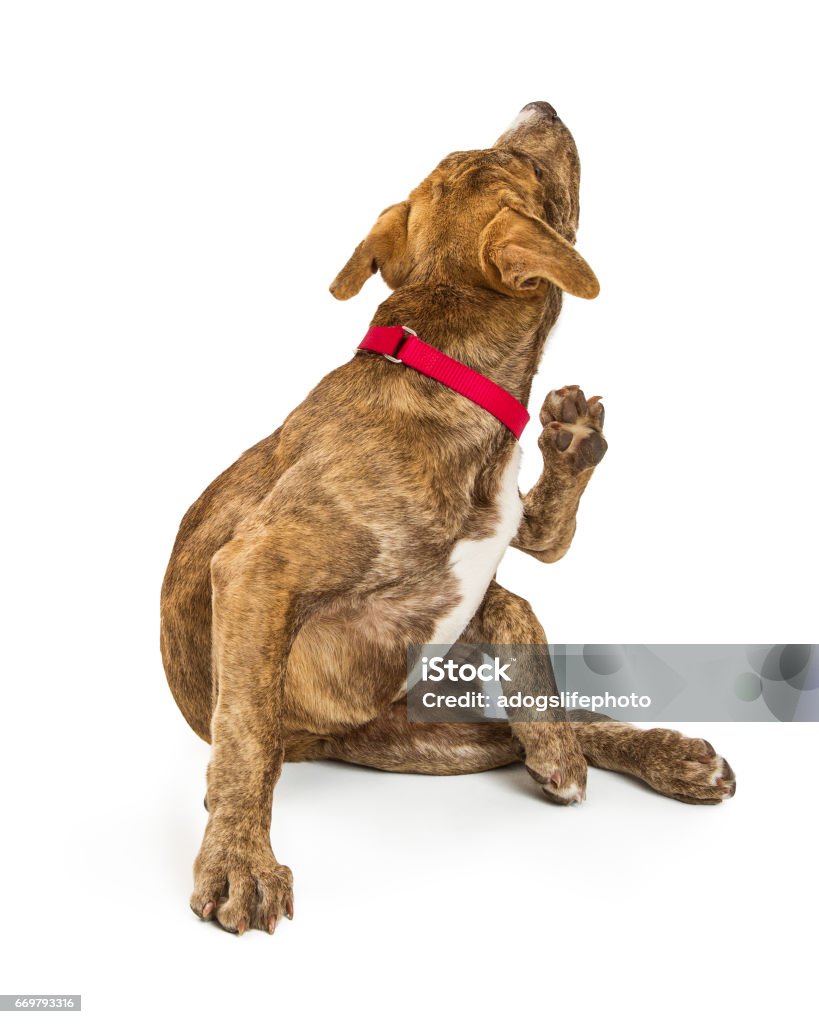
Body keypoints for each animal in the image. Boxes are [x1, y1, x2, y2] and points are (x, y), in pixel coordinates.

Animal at [159, 101, 737, 937]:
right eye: (528, 167)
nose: (541, 105)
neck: (441, 363)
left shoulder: (509, 532)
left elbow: (527, 587)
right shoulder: (256, 565)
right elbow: (245, 730)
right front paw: (239, 860)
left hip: (440, 734)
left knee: (552, 717)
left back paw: (652, 752)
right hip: (415, 739)